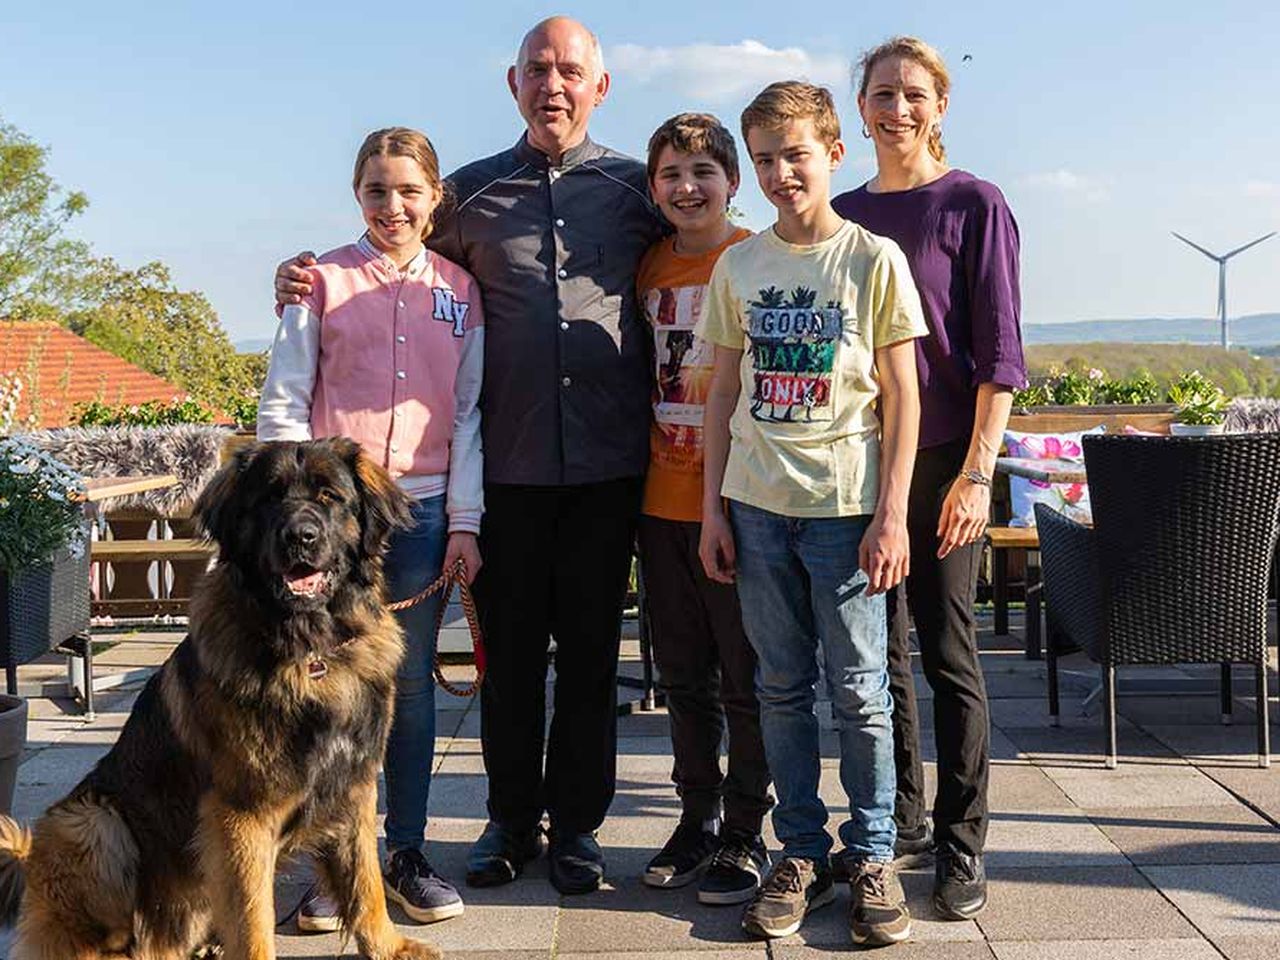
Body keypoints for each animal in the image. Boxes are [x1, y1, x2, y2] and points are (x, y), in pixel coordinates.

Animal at [0, 442, 445, 960]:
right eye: (270, 498)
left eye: (329, 496)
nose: (301, 537)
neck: (308, 651)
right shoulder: (240, 814)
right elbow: (254, 919)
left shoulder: (353, 787)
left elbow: (365, 883)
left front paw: (388, 947)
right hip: (87, 823)